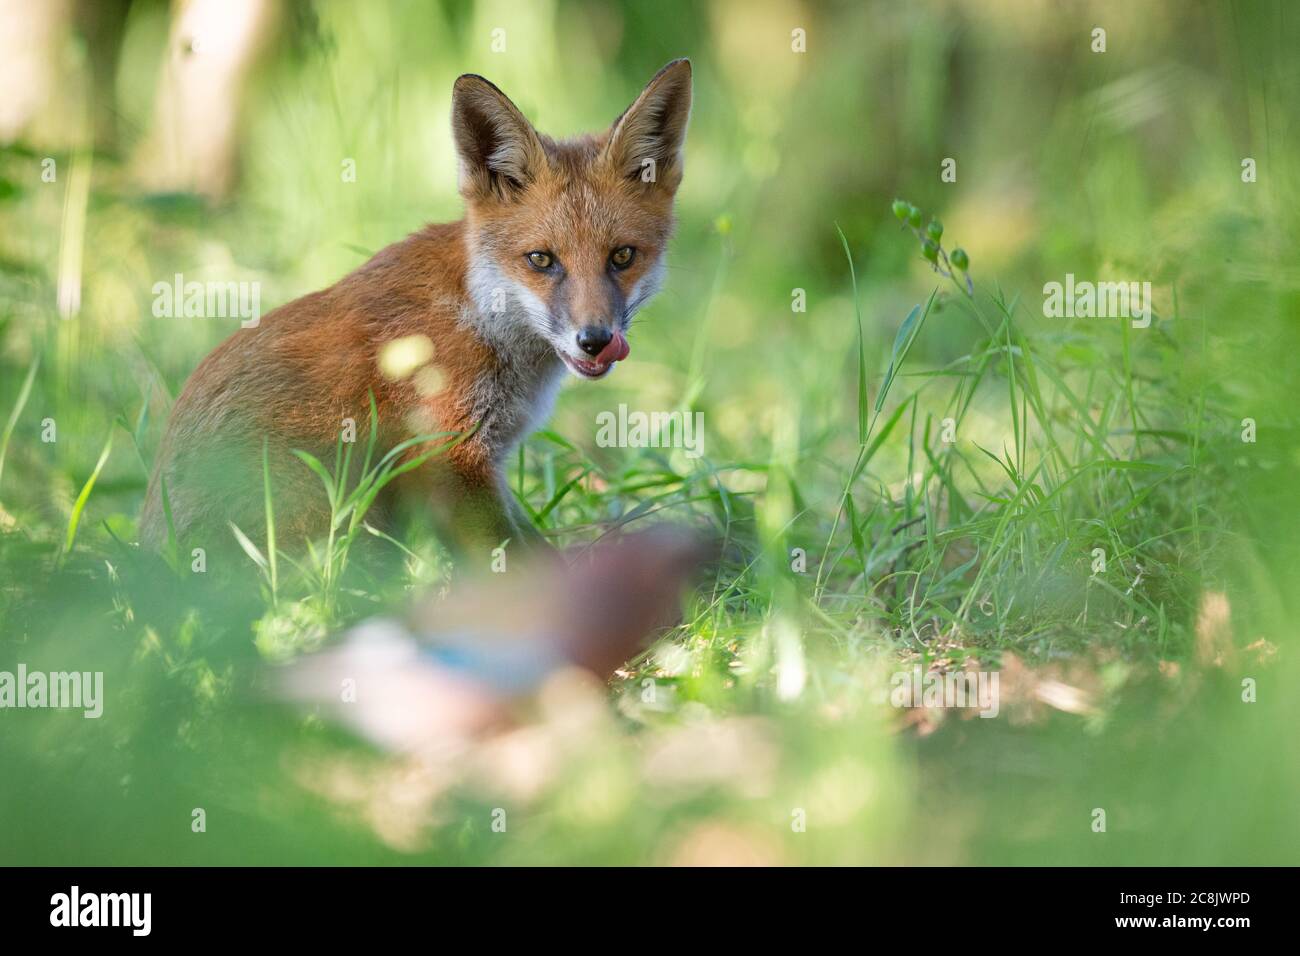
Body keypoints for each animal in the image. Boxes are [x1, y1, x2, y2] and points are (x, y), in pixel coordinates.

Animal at [138, 59, 696, 556]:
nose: (595, 340)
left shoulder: (485, 465)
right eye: (541, 259)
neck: (480, 319)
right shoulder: (450, 458)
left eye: (622, 256)